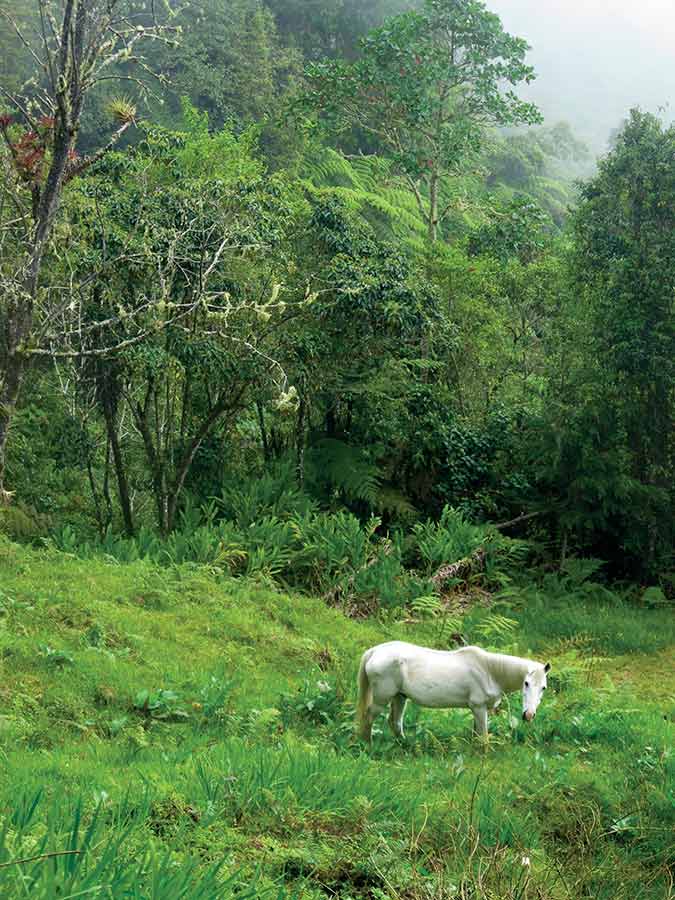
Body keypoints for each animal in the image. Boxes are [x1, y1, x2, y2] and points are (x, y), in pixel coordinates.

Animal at [356, 636, 552, 740]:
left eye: (543, 687)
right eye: (526, 683)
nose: (529, 715)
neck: (489, 670)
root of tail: (374, 651)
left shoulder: (477, 710)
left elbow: (477, 735)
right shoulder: (479, 707)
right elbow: (484, 737)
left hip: (400, 697)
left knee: (395, 722)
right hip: (382, 698)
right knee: (368, 717)